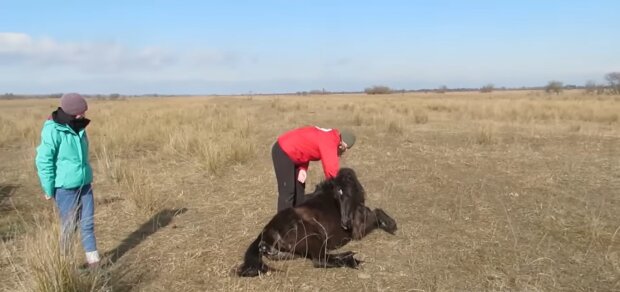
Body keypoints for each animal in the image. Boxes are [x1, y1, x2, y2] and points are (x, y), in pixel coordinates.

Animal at [237, 168, 398, 278]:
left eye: (348, 194)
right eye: (339, 194)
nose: (346, 223)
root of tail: (265, 234)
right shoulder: (359, 230)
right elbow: (377, 212)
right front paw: (392, 225)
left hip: (291, 253)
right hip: (313, 237)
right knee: (320, 260)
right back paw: (352, 260)